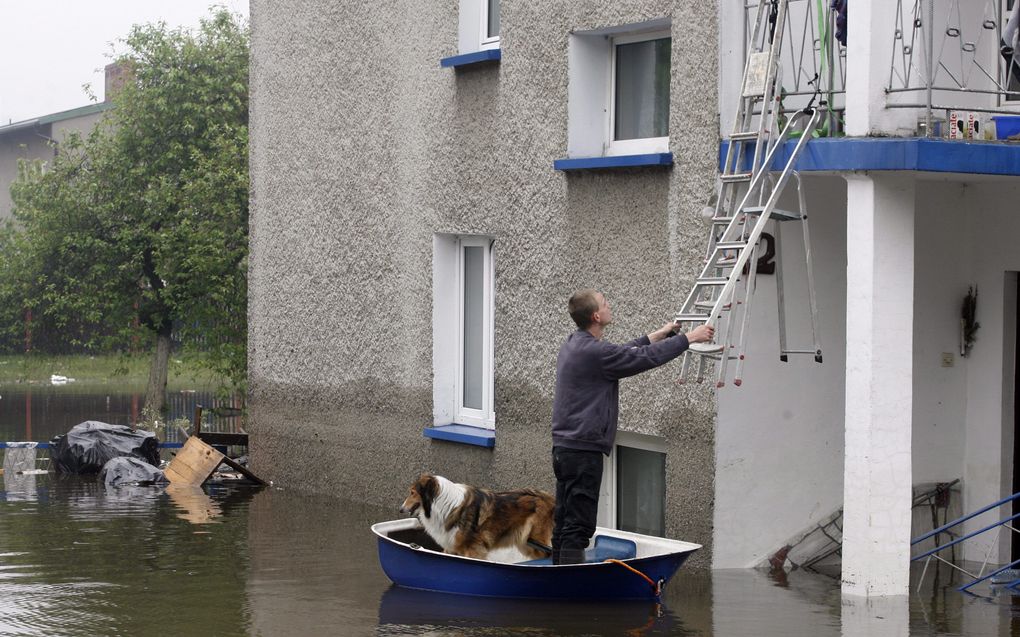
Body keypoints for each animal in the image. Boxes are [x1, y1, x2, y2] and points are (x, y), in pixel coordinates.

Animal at [399, 472, 558, 562]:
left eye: (412, 492)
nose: (401, 509)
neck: (441, 504)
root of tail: (550, 498)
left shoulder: (473, 549)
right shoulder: (451, 546)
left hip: (536, 540)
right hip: (525, 543)